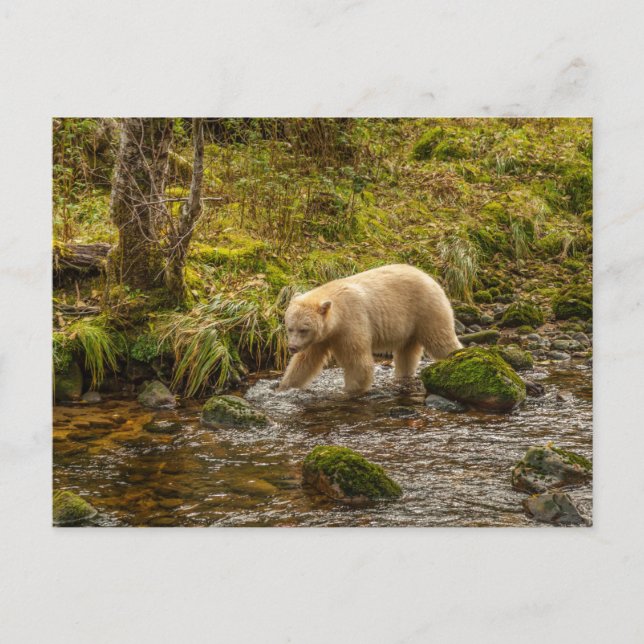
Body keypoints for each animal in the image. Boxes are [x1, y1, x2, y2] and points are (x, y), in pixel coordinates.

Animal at [277, 264, 462, 395]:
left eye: (304, 329)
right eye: (290, 328)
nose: (292, 347)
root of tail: (429, 277)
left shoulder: (351, 323)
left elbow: (358, 362)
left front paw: (349, 391)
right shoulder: (322, 338)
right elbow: (305, 362)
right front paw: (284, 386)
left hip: (426, 310)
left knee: (440, 340)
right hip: (410, 326)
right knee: (406, 353)